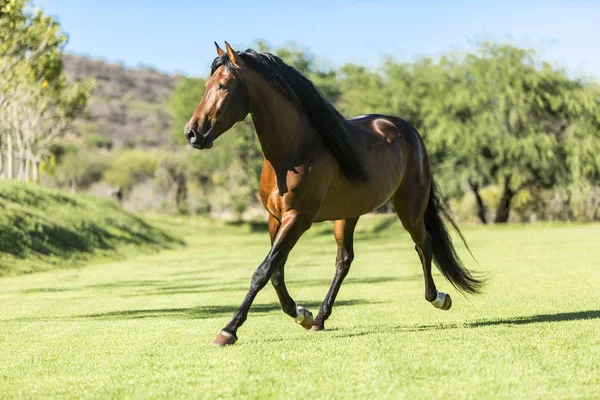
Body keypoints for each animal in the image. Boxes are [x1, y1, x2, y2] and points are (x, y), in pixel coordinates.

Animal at [185, 42, 486, 346]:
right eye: (207, 84)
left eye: (223, 85)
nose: (192, 133)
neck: (295, 151)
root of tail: (409, 131)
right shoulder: (275, 218)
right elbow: (276, 272)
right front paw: (301, 314)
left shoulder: (297, 219)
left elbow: (262, 272)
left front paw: (228, 330)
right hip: (348, 215)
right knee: (344, 261)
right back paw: (319, 318)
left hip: (409, 208)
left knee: (423, 243)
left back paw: (438, 298)